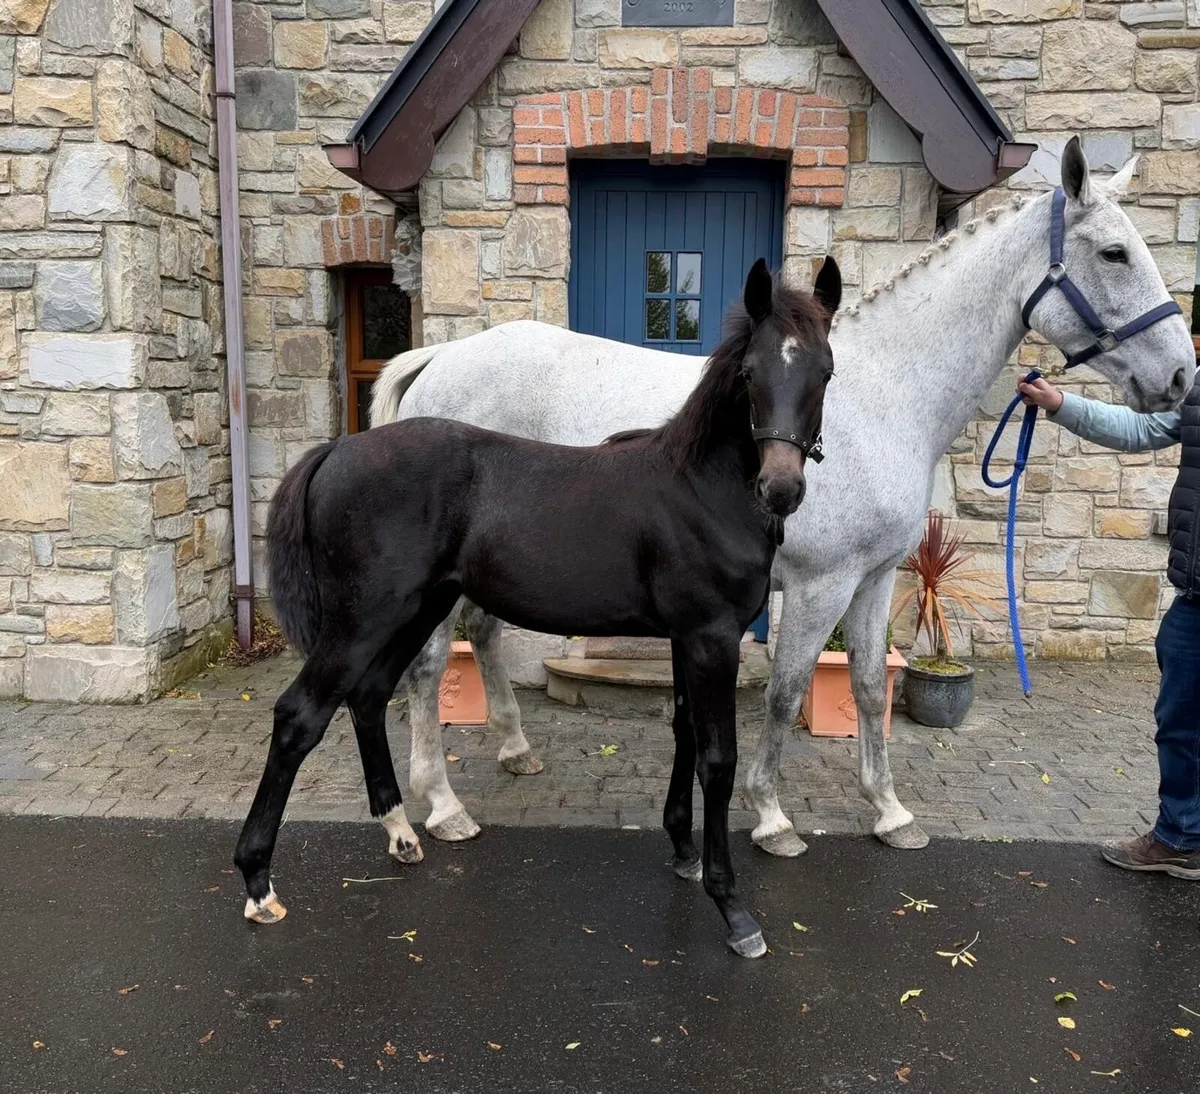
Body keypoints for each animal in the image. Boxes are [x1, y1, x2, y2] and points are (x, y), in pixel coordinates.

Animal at [235, 259, 842, 957]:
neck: (698, 487)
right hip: (364, 620)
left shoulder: (685, 638)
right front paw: (734, 910)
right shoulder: (711, 637)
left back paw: (401, 833)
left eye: (825, 371)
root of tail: (338, 449)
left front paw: (684, 852)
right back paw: (260, 885)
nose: (782, 488)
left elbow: (684, 731)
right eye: (749, 373)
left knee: (367, 697)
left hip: (413, 611)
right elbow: (717, 758)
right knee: (299, 716)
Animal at [370, 138, 1195, 858]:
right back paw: (442, 806)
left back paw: (514, 751)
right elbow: (786, 689)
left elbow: (865, 683)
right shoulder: (818, 583)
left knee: (484, 636)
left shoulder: (874, 577)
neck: (881, 396)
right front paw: (771, 819)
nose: (1180, 378)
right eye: (1115, 253)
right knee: (431, 663)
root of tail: (441, 357)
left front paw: (890, 812)